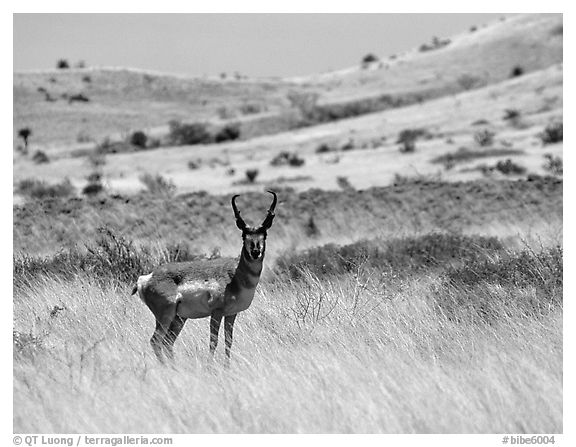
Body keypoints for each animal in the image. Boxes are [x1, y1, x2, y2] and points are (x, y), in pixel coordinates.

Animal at [133, 189, 276, 364]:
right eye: (244, 235)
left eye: (264, 234)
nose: (255, 252)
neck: (235, 276)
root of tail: (146, 278)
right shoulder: (216, 313)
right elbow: (213, 341)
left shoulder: (231, 314)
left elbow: (228, 341)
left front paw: (227, 366)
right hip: (165, 317)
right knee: (155, 341)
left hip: (178, 319)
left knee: (167, 342)